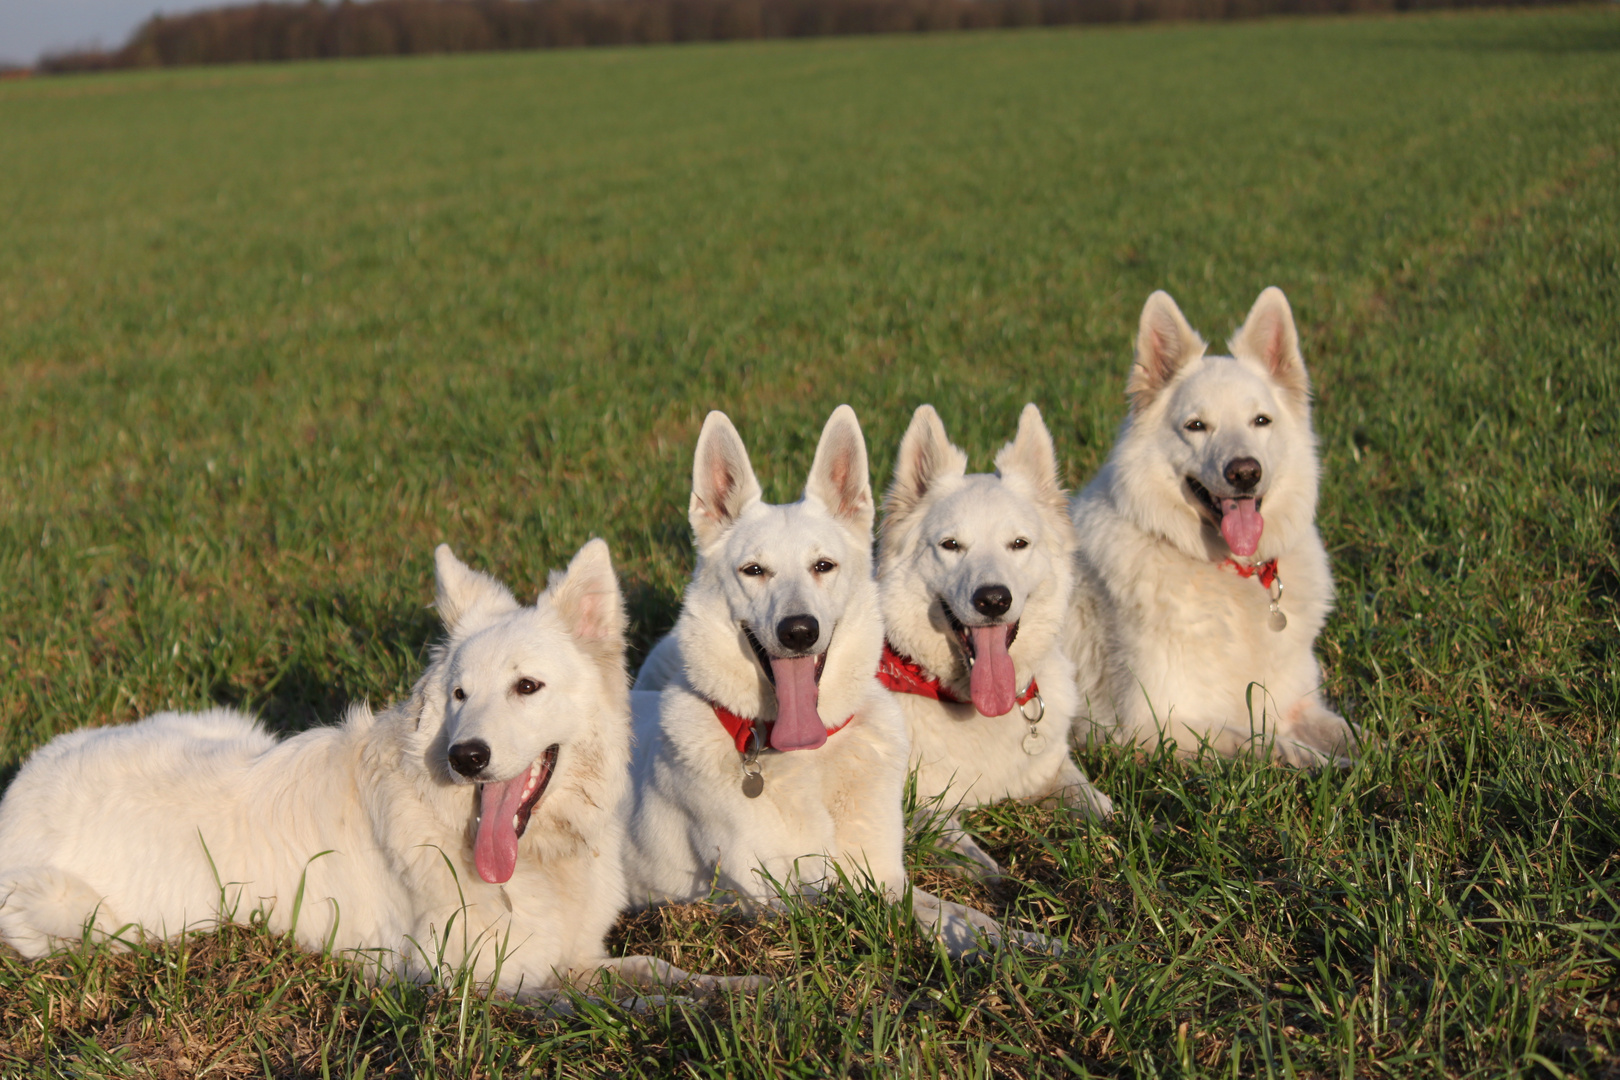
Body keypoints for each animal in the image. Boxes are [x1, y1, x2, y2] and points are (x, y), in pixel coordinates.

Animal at [618, 409, 1049, 958]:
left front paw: (1027, 940)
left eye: (823, 566)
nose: (799, 631)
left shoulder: (884, 875)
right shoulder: (783, 898)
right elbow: (898, 913)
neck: (810, 758)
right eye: (753, 570)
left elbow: (954, 913)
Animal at [874, 404, 1114, 880]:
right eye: (951, 545)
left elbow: (1101, 807)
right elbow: (975, 859)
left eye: (1018, 543)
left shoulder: (1054, 769)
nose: (993, 600)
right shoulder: (921, 807)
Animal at [1069, 283, 1360, 764]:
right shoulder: (1152, 728)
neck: (1231, 572)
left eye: (1261, 420)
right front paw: (1322, 763)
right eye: (1196, 425)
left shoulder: (1298, 703)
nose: (1245, 473)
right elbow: (1262, 741)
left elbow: (1358, 734)